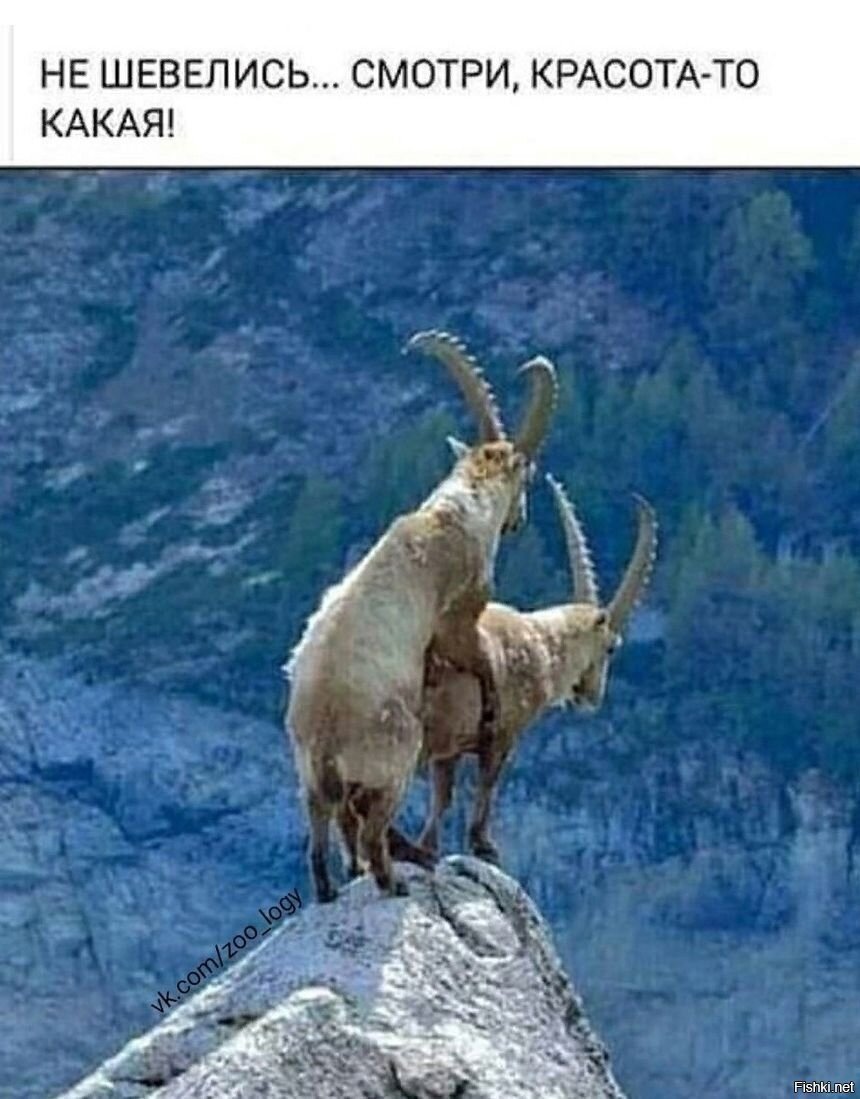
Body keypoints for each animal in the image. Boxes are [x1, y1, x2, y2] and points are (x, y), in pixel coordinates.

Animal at [285, 332, 557, 901]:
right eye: (525, 477)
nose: (519, 520)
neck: (448, 514)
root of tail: (325, 737)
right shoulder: (460, 611)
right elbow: (477, 660)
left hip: (309, 783)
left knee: (321, 834)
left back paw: (332, 888)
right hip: (396, 758)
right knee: (369, 828)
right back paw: (393, 882)